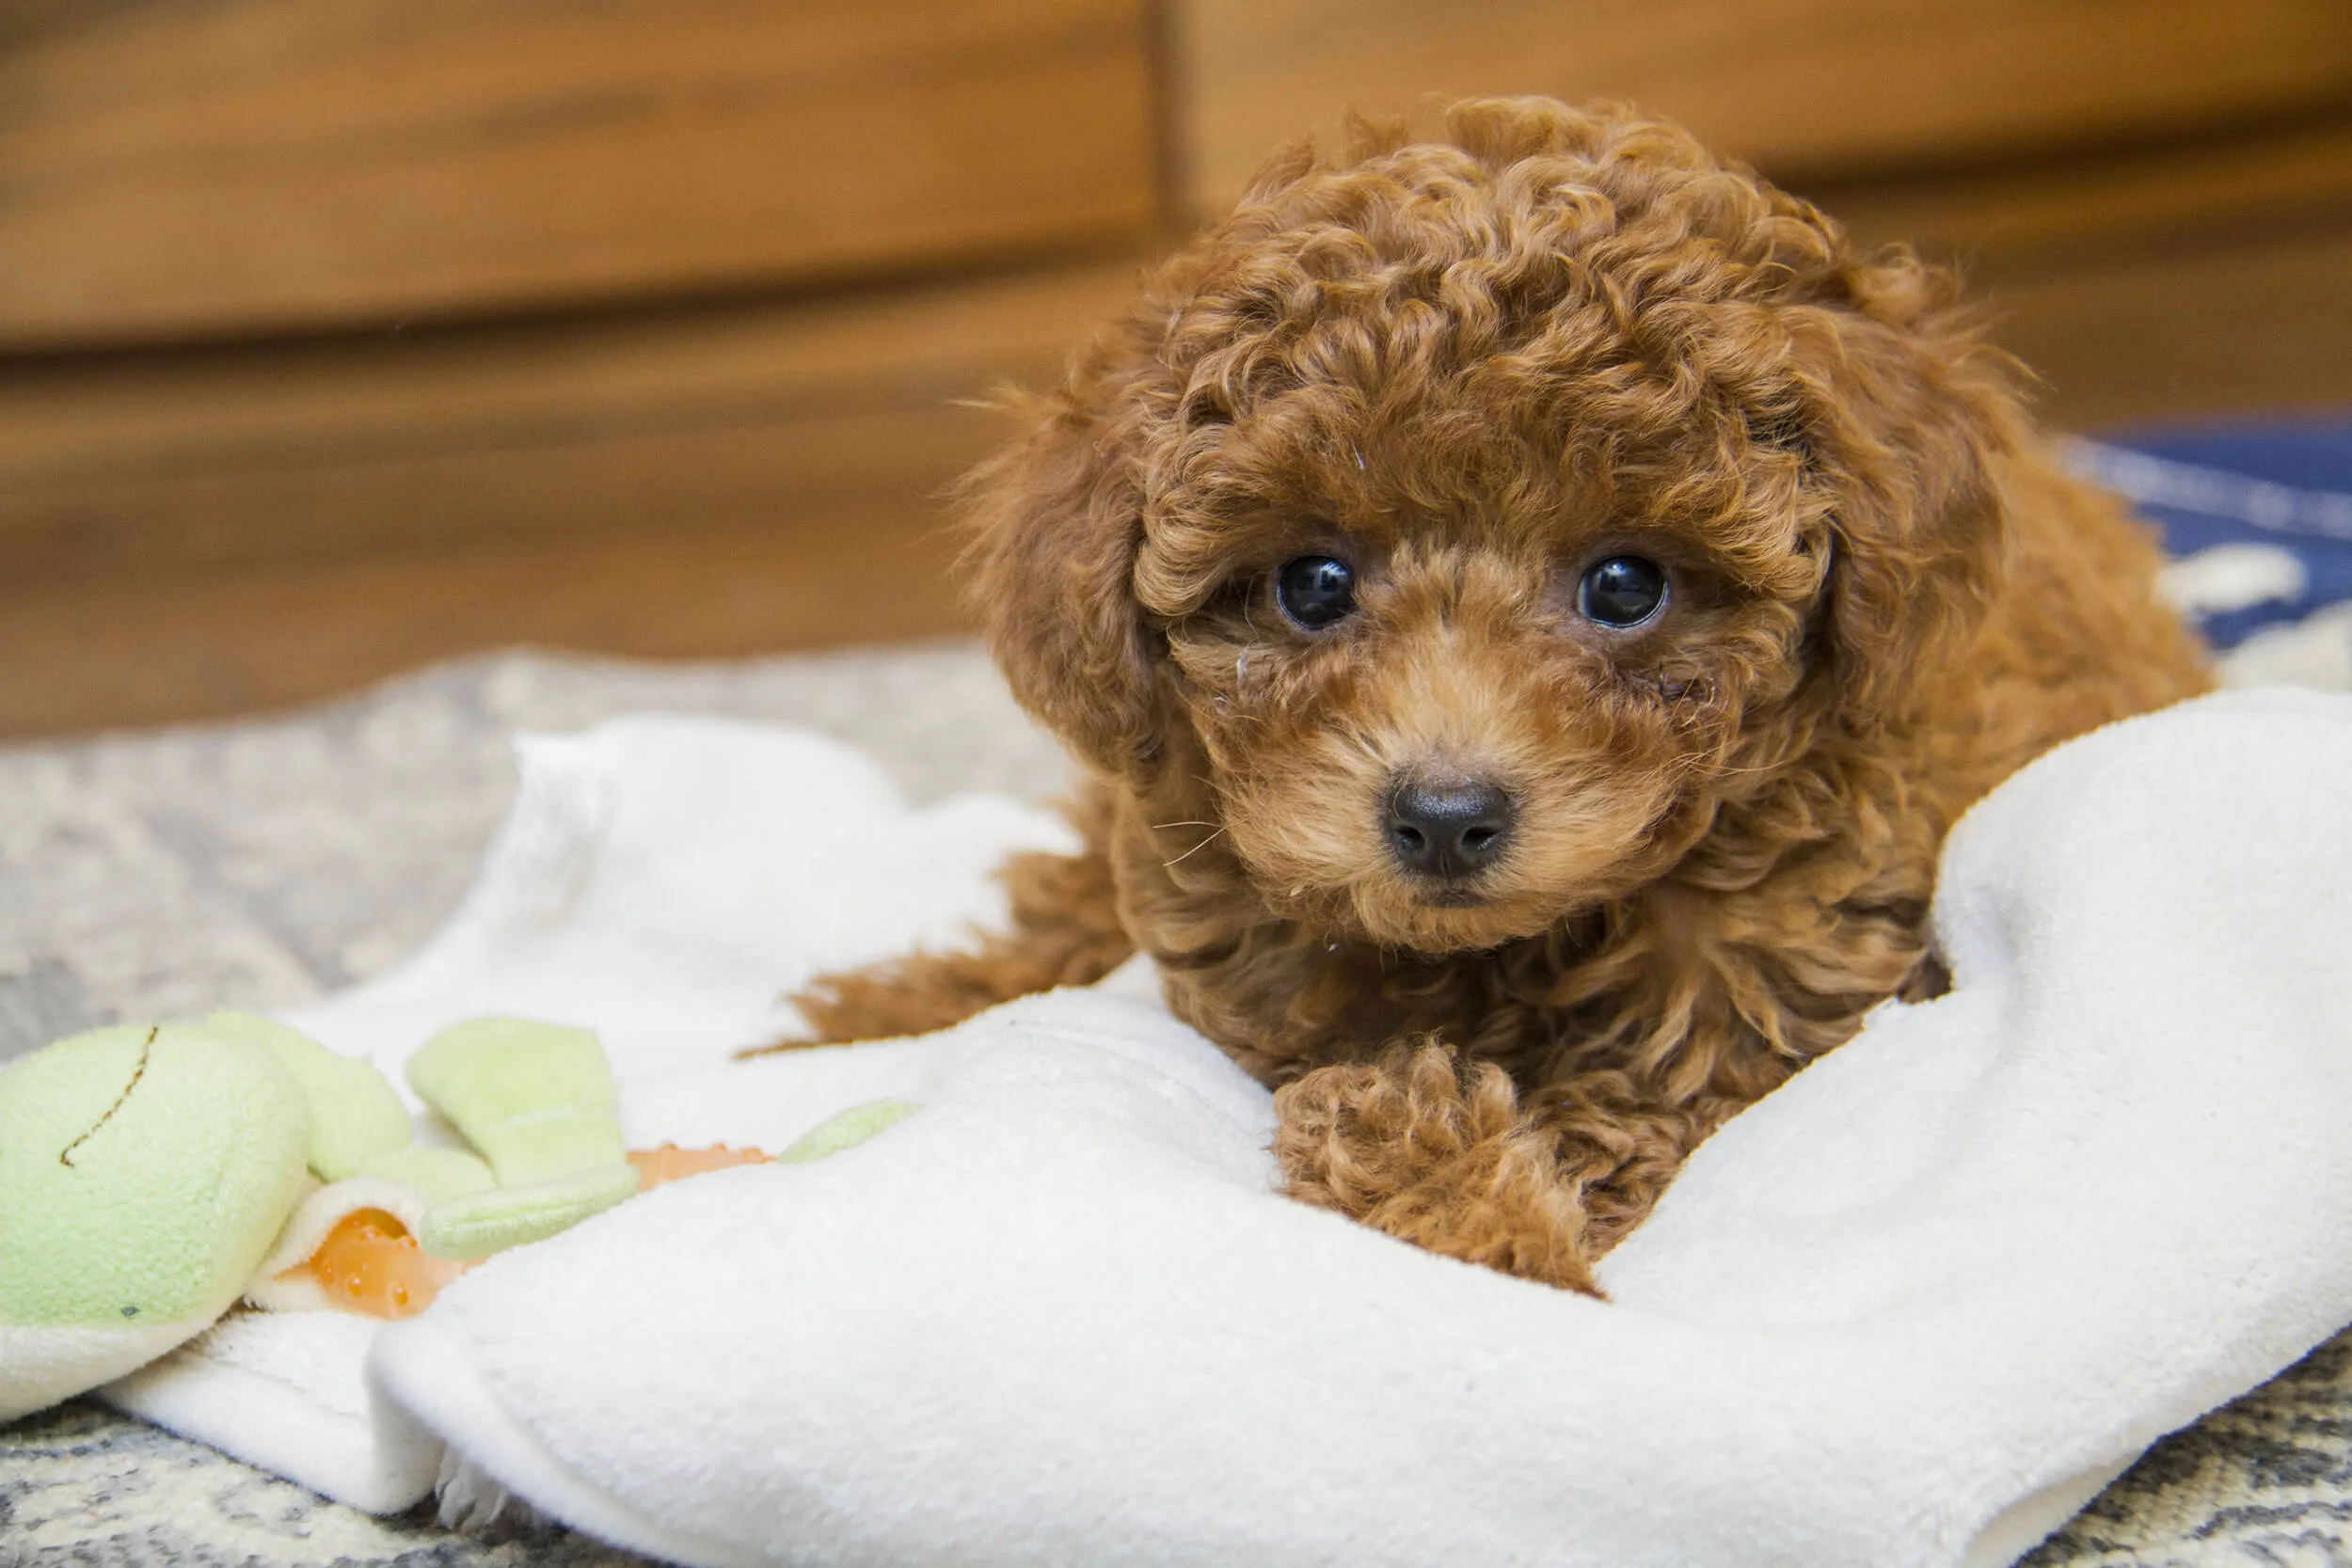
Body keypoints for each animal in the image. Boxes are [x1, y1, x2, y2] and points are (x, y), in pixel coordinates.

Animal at [767, 101, 2201, 1297]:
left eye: (1626, 584)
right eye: (1311, 583)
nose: (1447, 816)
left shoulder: (1752, 999)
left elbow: (1595, 1121)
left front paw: (1476, 1226)